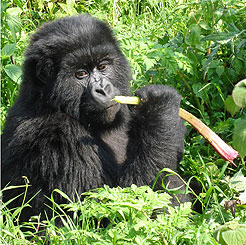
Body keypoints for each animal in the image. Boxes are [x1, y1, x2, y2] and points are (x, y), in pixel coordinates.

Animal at [1, 13, 188, 221]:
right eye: (81, 74)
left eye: (103, 66)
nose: (103, 89)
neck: (49, 101)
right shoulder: (53, 134)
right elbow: (107, 209)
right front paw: (160, 107)